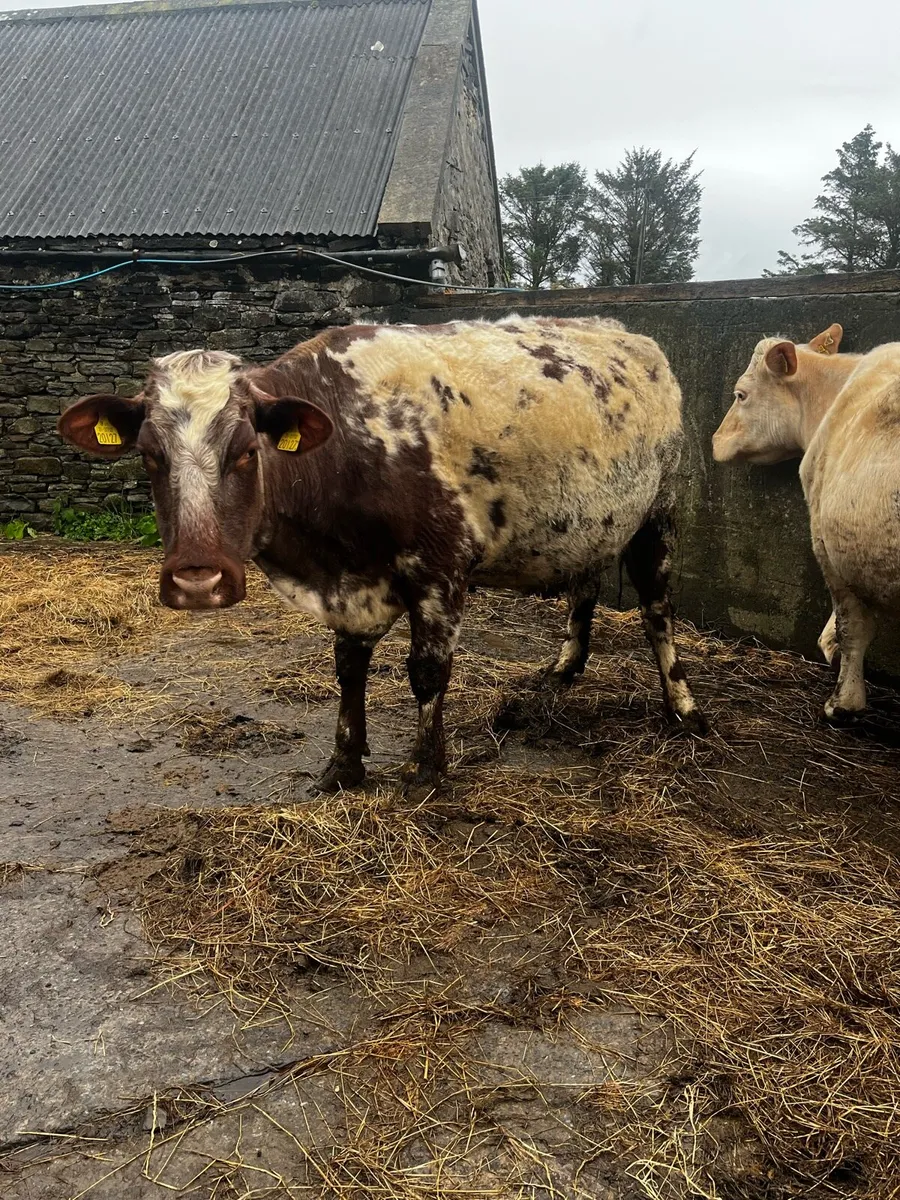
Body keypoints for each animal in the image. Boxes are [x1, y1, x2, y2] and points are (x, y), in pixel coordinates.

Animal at [58, 316, 705, 793]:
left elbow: (427, 672)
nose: (198, 580)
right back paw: (567, 665)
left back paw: (683, 706)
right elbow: (348, 670)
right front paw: (344, 765)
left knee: (657, 607)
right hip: (593, 517)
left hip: (659, 511)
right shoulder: (349, 583)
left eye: (246, 450)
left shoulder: (441, 570)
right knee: (586, 582)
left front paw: (425, 770)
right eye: (149, 454)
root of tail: (628, 333)